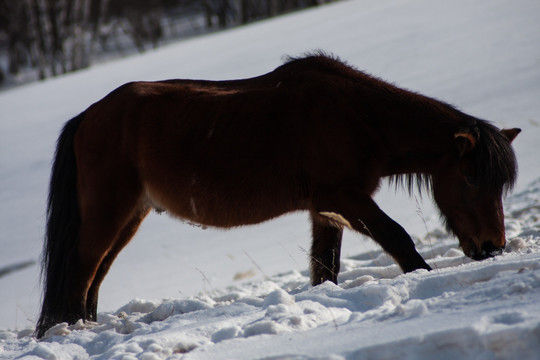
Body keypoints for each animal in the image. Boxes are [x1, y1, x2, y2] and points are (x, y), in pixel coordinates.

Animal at [34, 53, 520, 338]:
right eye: (471, 178)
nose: (492, 246)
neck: (360, 117)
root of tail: (88, 117)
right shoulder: (347, 199)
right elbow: (399, 240)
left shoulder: (325, 211)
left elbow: (325, 269)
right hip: (108, 212)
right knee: (81, 273)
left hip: (130, 216)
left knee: (94, 278)